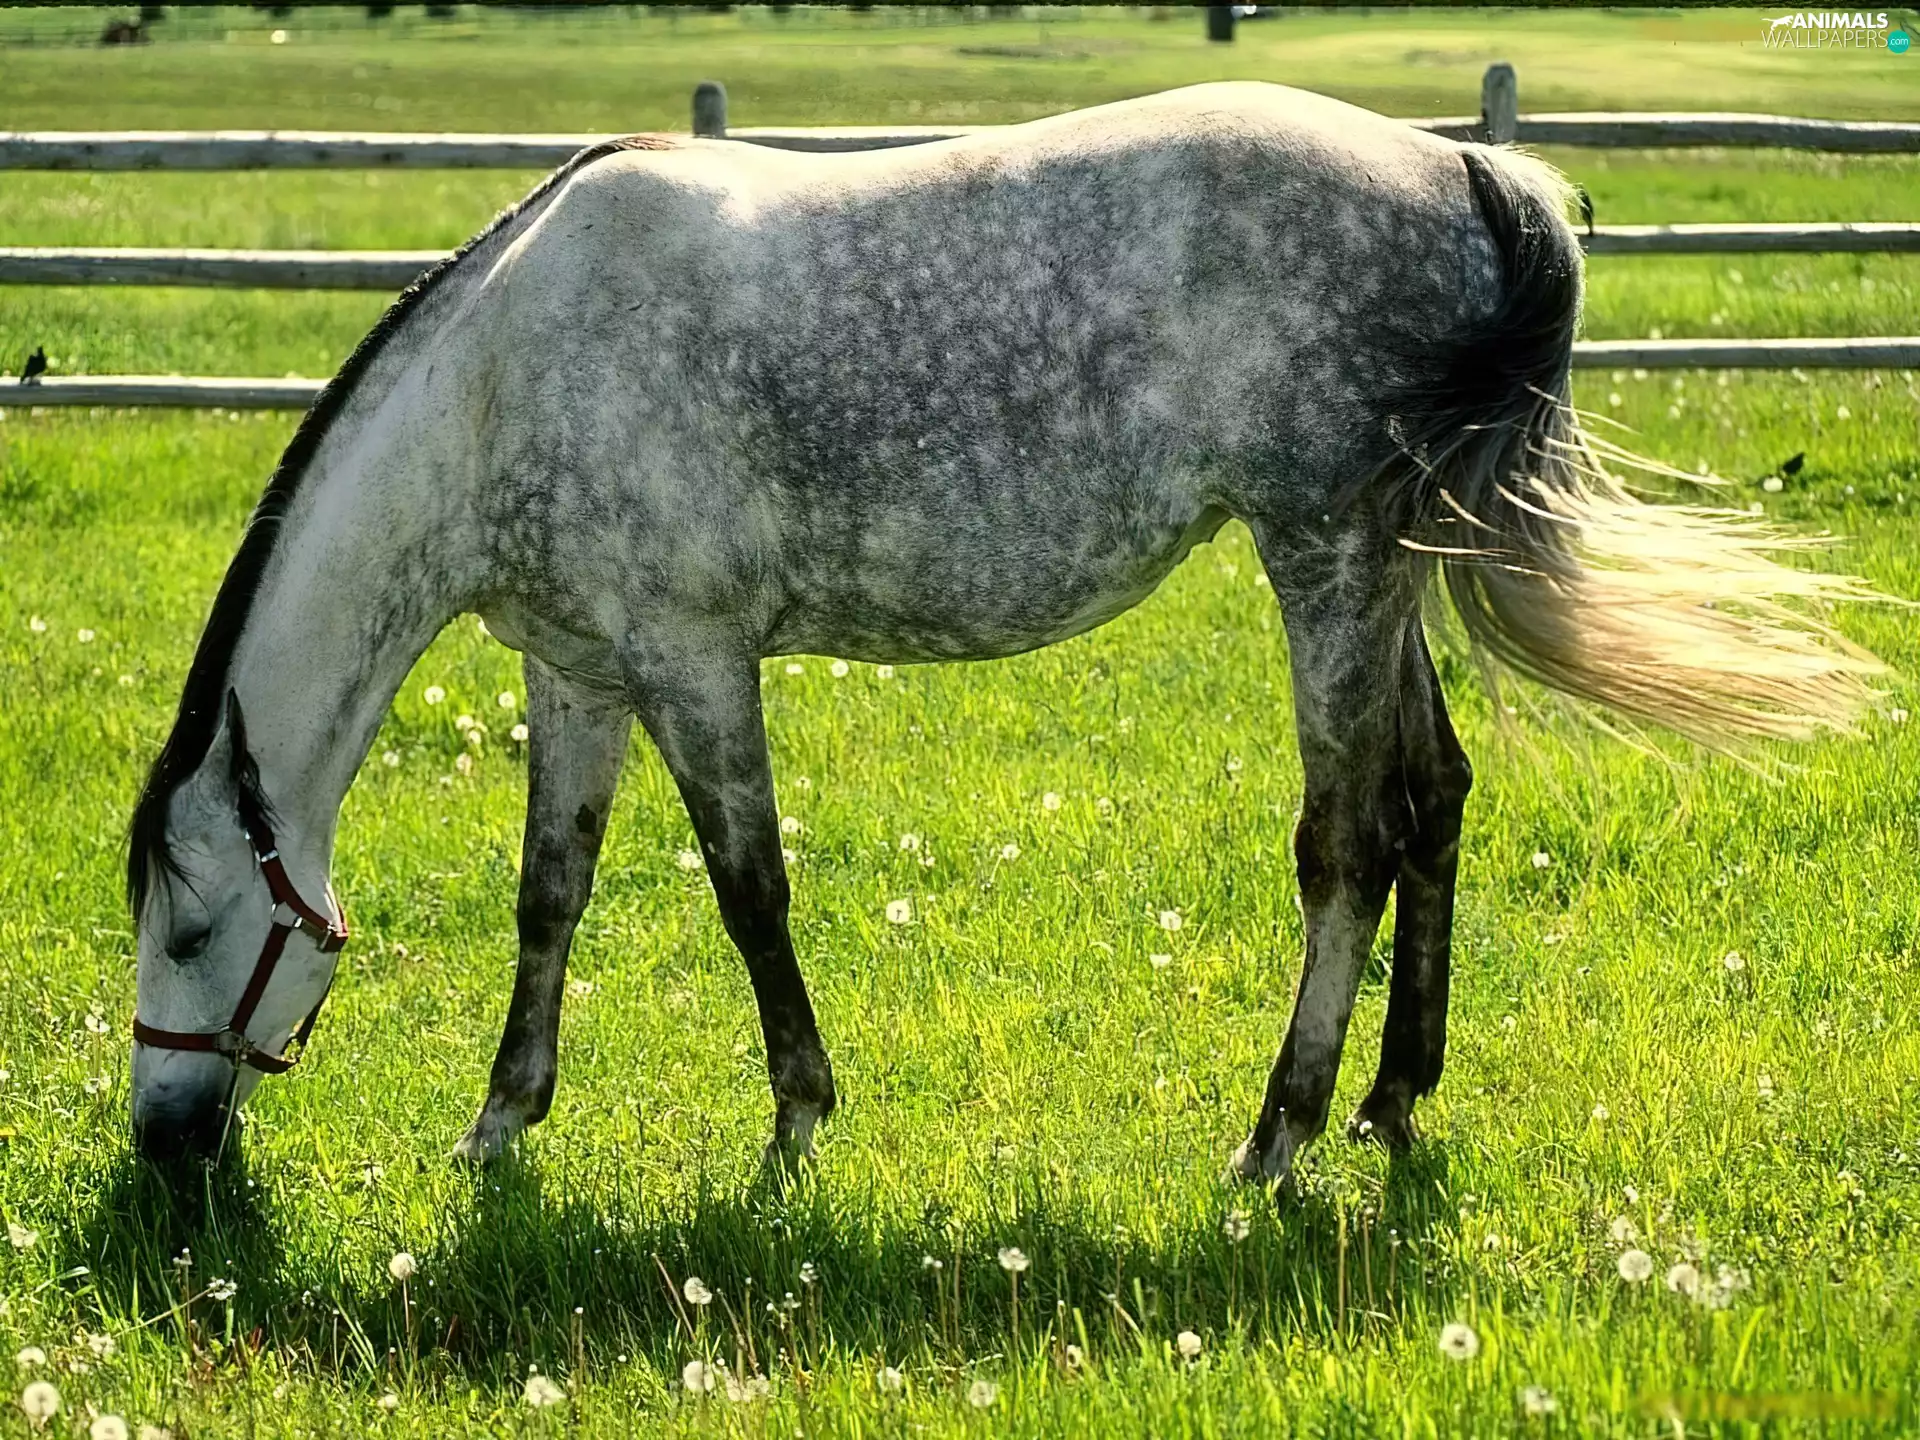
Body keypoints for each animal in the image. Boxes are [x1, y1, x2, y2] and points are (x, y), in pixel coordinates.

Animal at [126, 82, 1876, 1178]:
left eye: (194, 931)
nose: (159, 1147)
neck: (511, 378)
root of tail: (1471, 174)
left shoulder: (696, 662)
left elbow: (750, 893)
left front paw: (797, 1123)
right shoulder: (576, 670)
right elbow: (549, 896)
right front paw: (503, 1124)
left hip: (1322, 559)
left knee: (1351, 841)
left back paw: (1278, 1137)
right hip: (1385, 563)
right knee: (1436, 800)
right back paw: (1393, 1100)